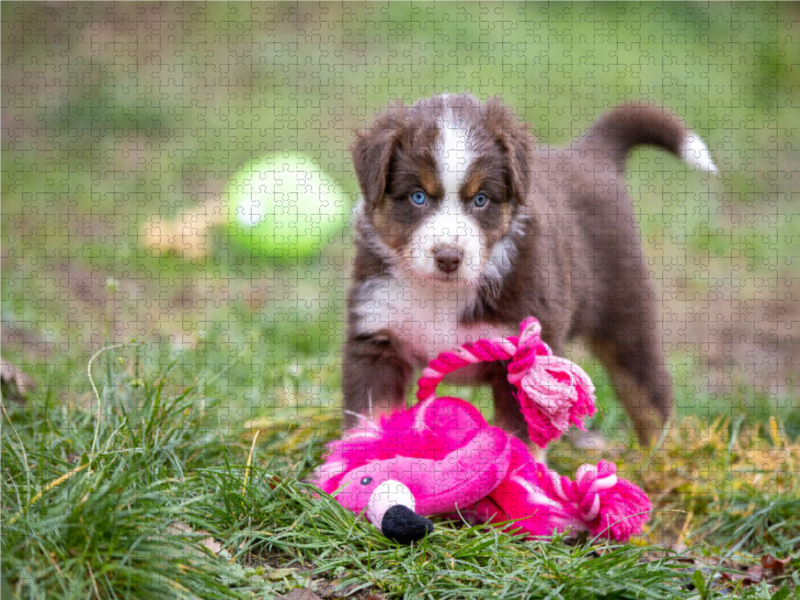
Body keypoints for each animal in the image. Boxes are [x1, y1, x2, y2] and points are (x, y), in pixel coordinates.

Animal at [344, 94, 720, 448]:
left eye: (481, 199)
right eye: (418, 197)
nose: (449, 257)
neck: (441, 294)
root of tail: (588, 153)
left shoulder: (525, 353)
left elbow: (521, 436)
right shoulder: (376, 337)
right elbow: (369, 419)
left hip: (626, 312)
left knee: (649, 397)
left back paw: (659, 458)